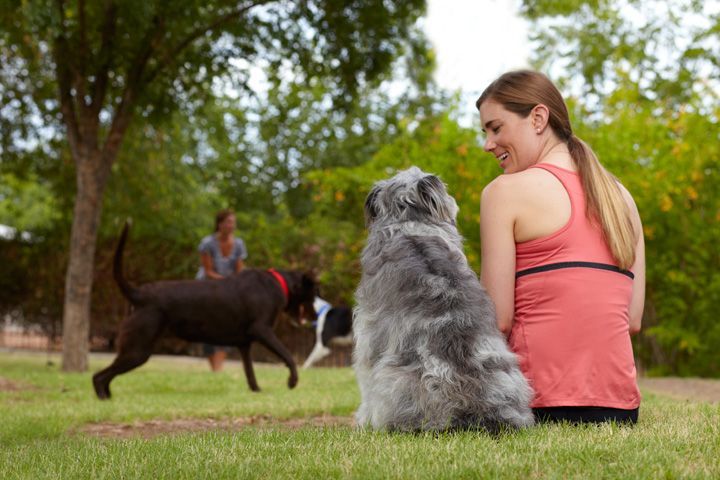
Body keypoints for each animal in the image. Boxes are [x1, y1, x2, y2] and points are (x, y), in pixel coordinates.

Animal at [91, 223, 316, 400]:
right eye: (314, 294)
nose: (315, 316)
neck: (278, 284)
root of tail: (138, 293)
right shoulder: (262, 330)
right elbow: (287, 355)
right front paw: (292, 381)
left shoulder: (244, 344)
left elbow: (250, 371)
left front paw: (256, 390)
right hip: (138, 349)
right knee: (98, 376)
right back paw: (104, 399)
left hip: (136, 349)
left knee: (103, 376)